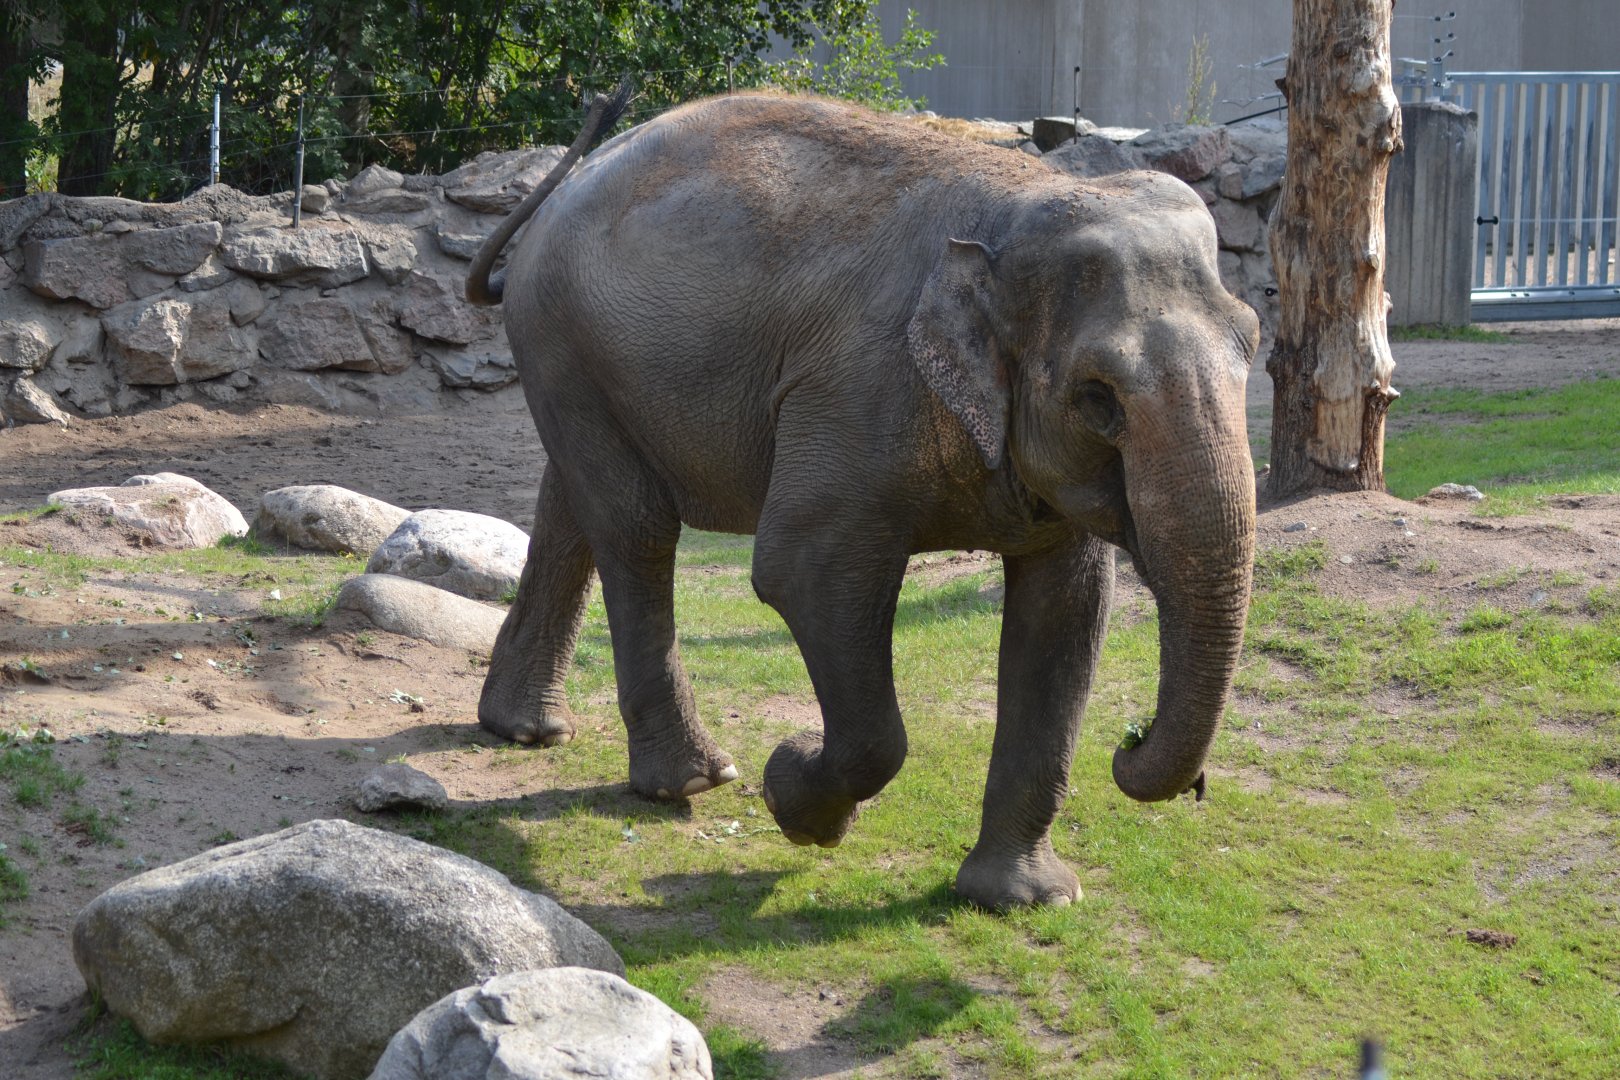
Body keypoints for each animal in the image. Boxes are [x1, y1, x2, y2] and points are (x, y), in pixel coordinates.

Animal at [466, 89, 1258, 911]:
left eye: (1255, 346)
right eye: (1099, 398)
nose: (1130, 743)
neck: (1015, 208)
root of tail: (564, 190)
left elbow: (1064, 611)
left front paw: (1025, 899)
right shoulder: (857, 390)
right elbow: (802, 571)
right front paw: (792, 793)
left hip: (577, 362)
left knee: (575, 507)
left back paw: (525, 729)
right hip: (563, 339)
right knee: (637, 528)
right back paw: (692, 779)